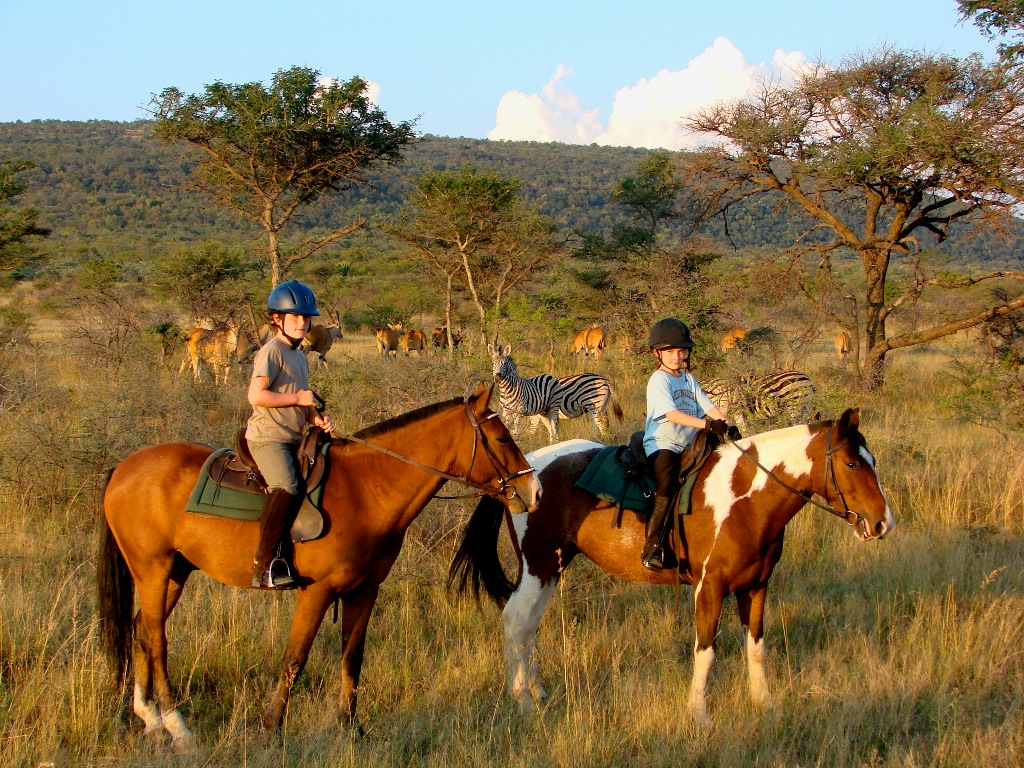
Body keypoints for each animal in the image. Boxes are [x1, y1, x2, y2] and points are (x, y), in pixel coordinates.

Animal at [452, 411, 892, 724]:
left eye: (870, 461)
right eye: (852, 465)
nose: (882, 522)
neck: (745, 498)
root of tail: (520, 477)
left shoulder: (756, 586)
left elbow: (756, 648)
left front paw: (765, 705)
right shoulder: (710, 588)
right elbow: (706, 652)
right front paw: (700, 716)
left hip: (551, 568)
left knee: (529, 627)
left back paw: (538, 693)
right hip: (538, 565)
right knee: (515, 622)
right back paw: (522, 701)